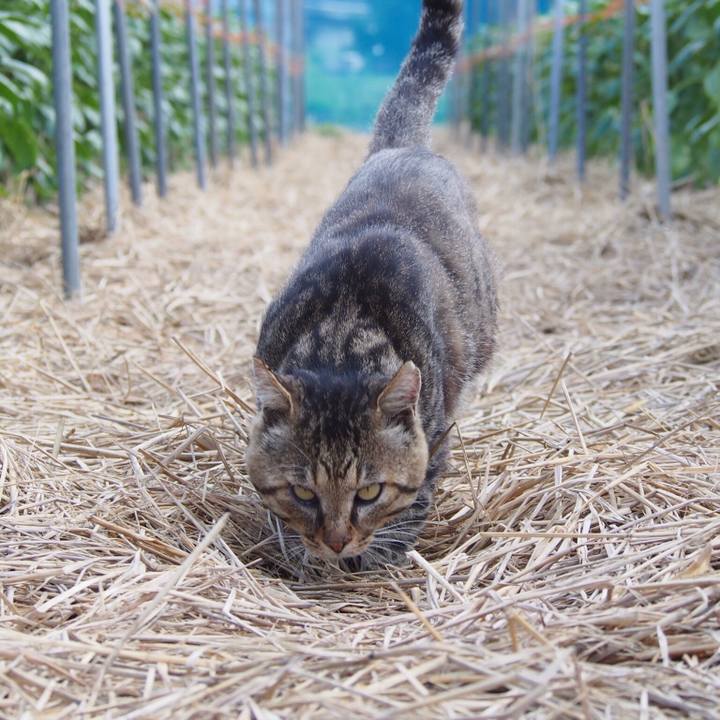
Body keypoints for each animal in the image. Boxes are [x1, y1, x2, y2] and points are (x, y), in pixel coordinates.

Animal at [246, 0, 497, 569]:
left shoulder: (434, 437)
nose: (336, 541)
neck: (341, 336)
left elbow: (412, 503)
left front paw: (375, 560)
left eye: (369, 493)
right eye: (303, 493)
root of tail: (402, 147)